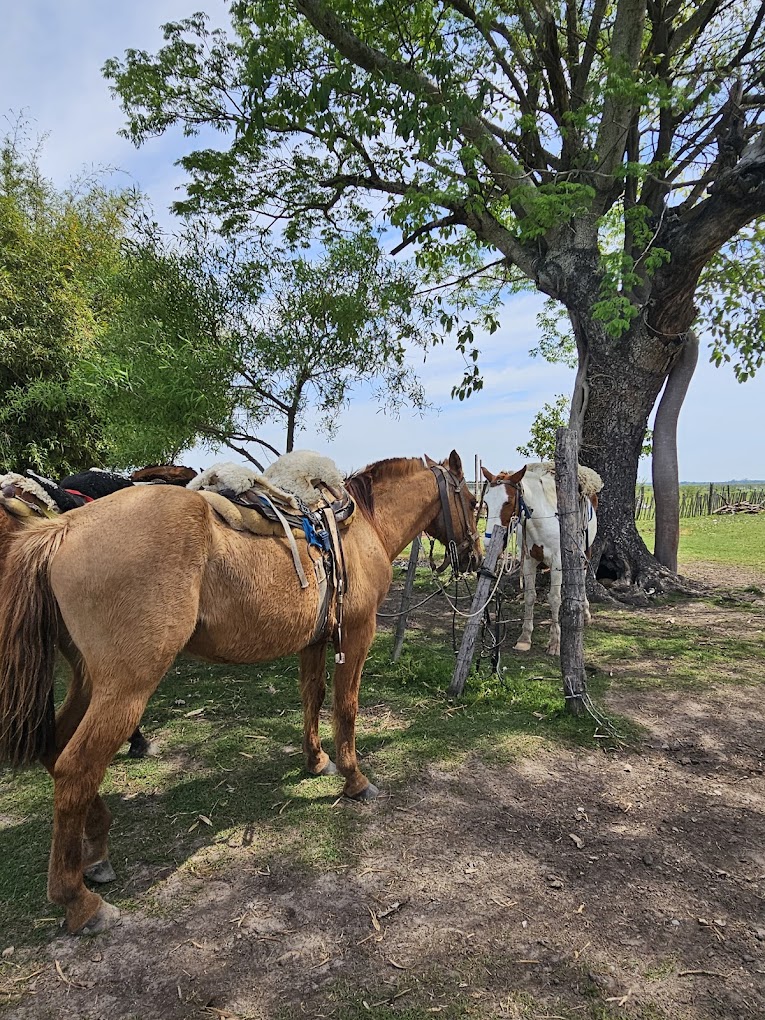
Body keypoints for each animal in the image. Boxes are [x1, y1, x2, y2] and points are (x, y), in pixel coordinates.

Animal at [0, 451, 481, 935]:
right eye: (474, 500)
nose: (475, 556)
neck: (361, 525)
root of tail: (63, 529)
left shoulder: (314, 641)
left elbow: (312, 696)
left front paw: (316, 760)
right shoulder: (356, 633)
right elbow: (345, 707)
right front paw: (355, 779)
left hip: (89, 681)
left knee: (55, 748)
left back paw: (96, 848)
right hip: (126, 687)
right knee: (76, 769)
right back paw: (79, 901)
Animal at [481, 462, 602, 655]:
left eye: (508, 502)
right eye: (486, 502)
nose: (488, 542)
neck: (542, 520)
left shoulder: (558, 563)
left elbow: (554, 599)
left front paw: (555, 642)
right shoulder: (529, 562)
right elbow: (530, 596)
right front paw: (524, 639)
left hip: (585, 550)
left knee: (582, 578)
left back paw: (584, 612)